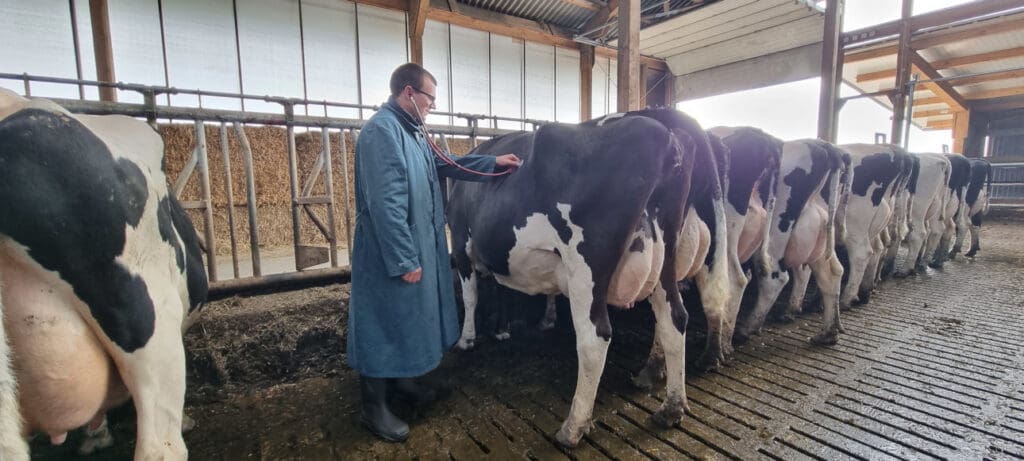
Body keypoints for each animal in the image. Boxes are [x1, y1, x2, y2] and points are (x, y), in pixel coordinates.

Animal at [450, 108, 712, 446]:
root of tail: (666, 136)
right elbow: (501, 289)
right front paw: (504, 329)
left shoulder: (460, 241)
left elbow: (471, 295)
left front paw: (467, 338)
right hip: (667, 254)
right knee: (674, 319)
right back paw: (672, 407)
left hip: (585, 267)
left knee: (594, 337)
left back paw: (573, 427)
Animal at [737, 140, 847, 346]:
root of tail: (824, 146)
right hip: (820, 233)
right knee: (832, 272)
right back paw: (828, 333)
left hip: (775, 234)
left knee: (774, 277)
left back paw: (746, 329)